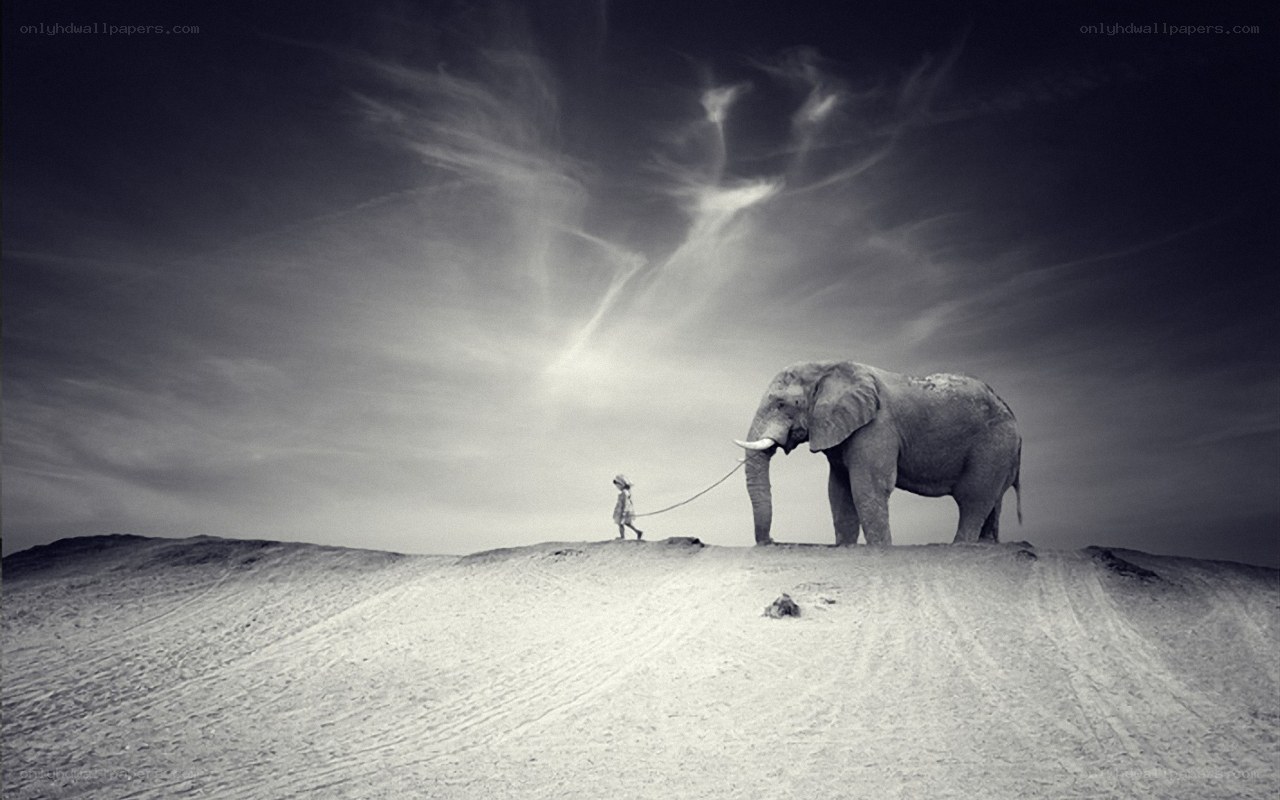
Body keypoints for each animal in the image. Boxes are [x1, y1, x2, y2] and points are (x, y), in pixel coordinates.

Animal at [735, 360, 1022, 546]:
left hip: (993, 446)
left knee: (973, 499)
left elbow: (868, 487)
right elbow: (839, 492)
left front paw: (880, 550)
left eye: (781, 404)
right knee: (992, 504)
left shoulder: (877, 426)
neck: (826, 367)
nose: (772, 540)